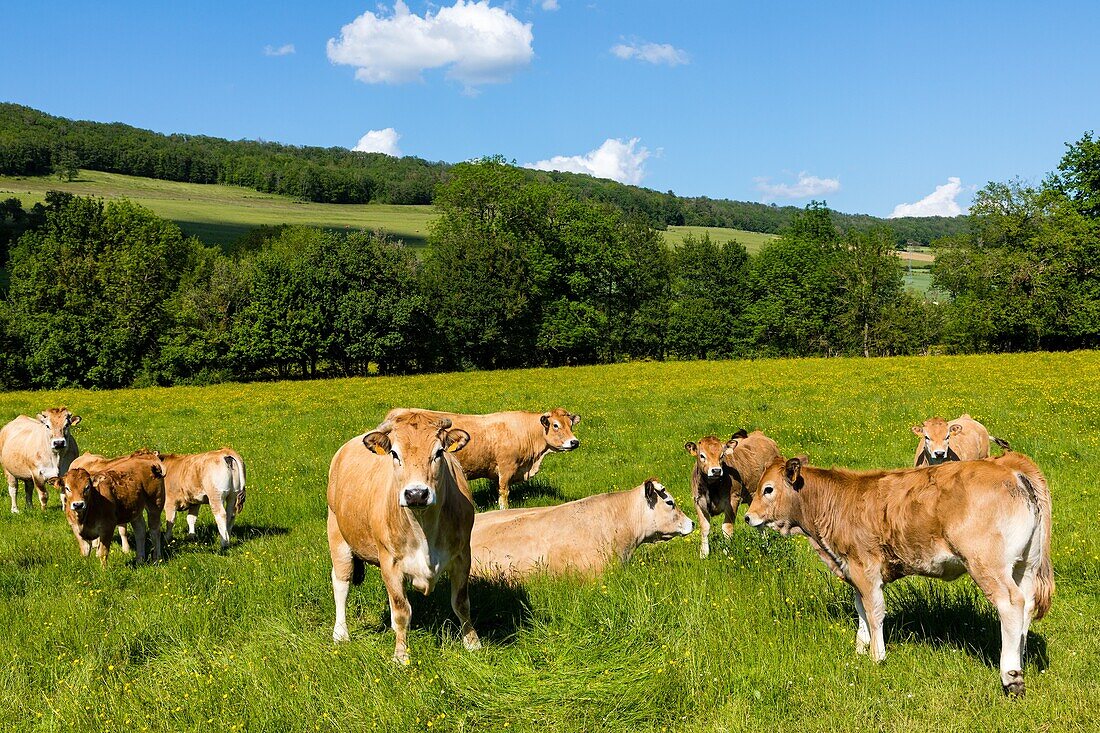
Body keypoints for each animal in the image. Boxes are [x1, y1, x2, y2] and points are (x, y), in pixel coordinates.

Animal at [325, 411, 481, 660]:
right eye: (395, 454)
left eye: (439, 452)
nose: (416, 494)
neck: (424, 527)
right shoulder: (390, 563)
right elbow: (401, 611)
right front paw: (400, 655)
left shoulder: (462, 555)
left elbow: (461, 602)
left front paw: (472, 643)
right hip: (337, 536)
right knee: (341, 582)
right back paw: (340, 633)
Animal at [686, 424, 783, 556]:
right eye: (702, 455)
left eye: (722, 455)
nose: (716, 470)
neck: (712, 487)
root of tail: (758, 434)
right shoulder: (698, 502)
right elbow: (705, 528)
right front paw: (704, 554)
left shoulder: (732, 500)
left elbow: (727, 528)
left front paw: (727, 552)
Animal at [743, 449, 1051, 695]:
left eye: (768, 489)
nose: (748, 517)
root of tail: (1010, 466)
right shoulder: (852, 570)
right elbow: (861, 609)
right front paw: (860, 648)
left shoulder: (864, 567)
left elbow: (874, 611)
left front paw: (876, 656)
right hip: (1025, 564)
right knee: (1026, 605)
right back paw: (1020, 656)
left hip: (987, 563)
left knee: (1011, 604)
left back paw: (1010, 674)